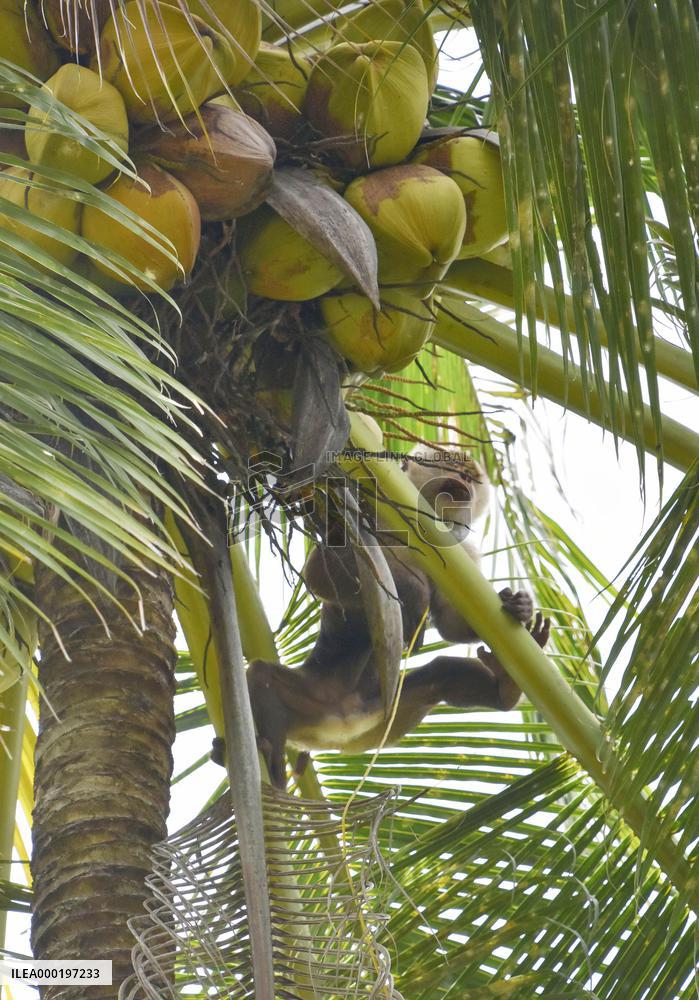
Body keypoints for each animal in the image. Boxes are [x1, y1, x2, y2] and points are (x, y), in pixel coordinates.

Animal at [214, 444, 550, 787]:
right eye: (452, 467)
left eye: (469, 475)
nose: (462, 480)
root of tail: (338, 727)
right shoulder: (364, 512)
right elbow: (321, 571)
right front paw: (414, 594)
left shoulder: (460, 551)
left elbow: (449, 623)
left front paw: (519, 606)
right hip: (314, 699)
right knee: (261, 676)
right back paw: (269, 763)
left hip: (379, 710)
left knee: (441, 674)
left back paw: (505, 689)